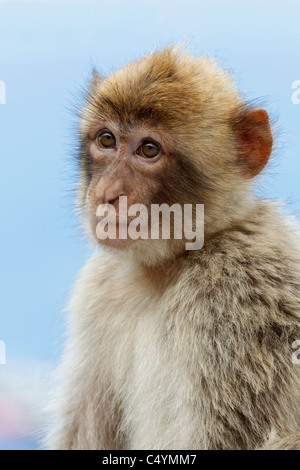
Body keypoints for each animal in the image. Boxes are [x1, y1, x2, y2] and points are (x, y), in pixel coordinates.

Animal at [45, 47, 300, 452]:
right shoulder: (99, 286)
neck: (170, 264)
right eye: (106, 140)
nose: (105, 194)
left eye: (149, 149)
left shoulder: (234, 303)